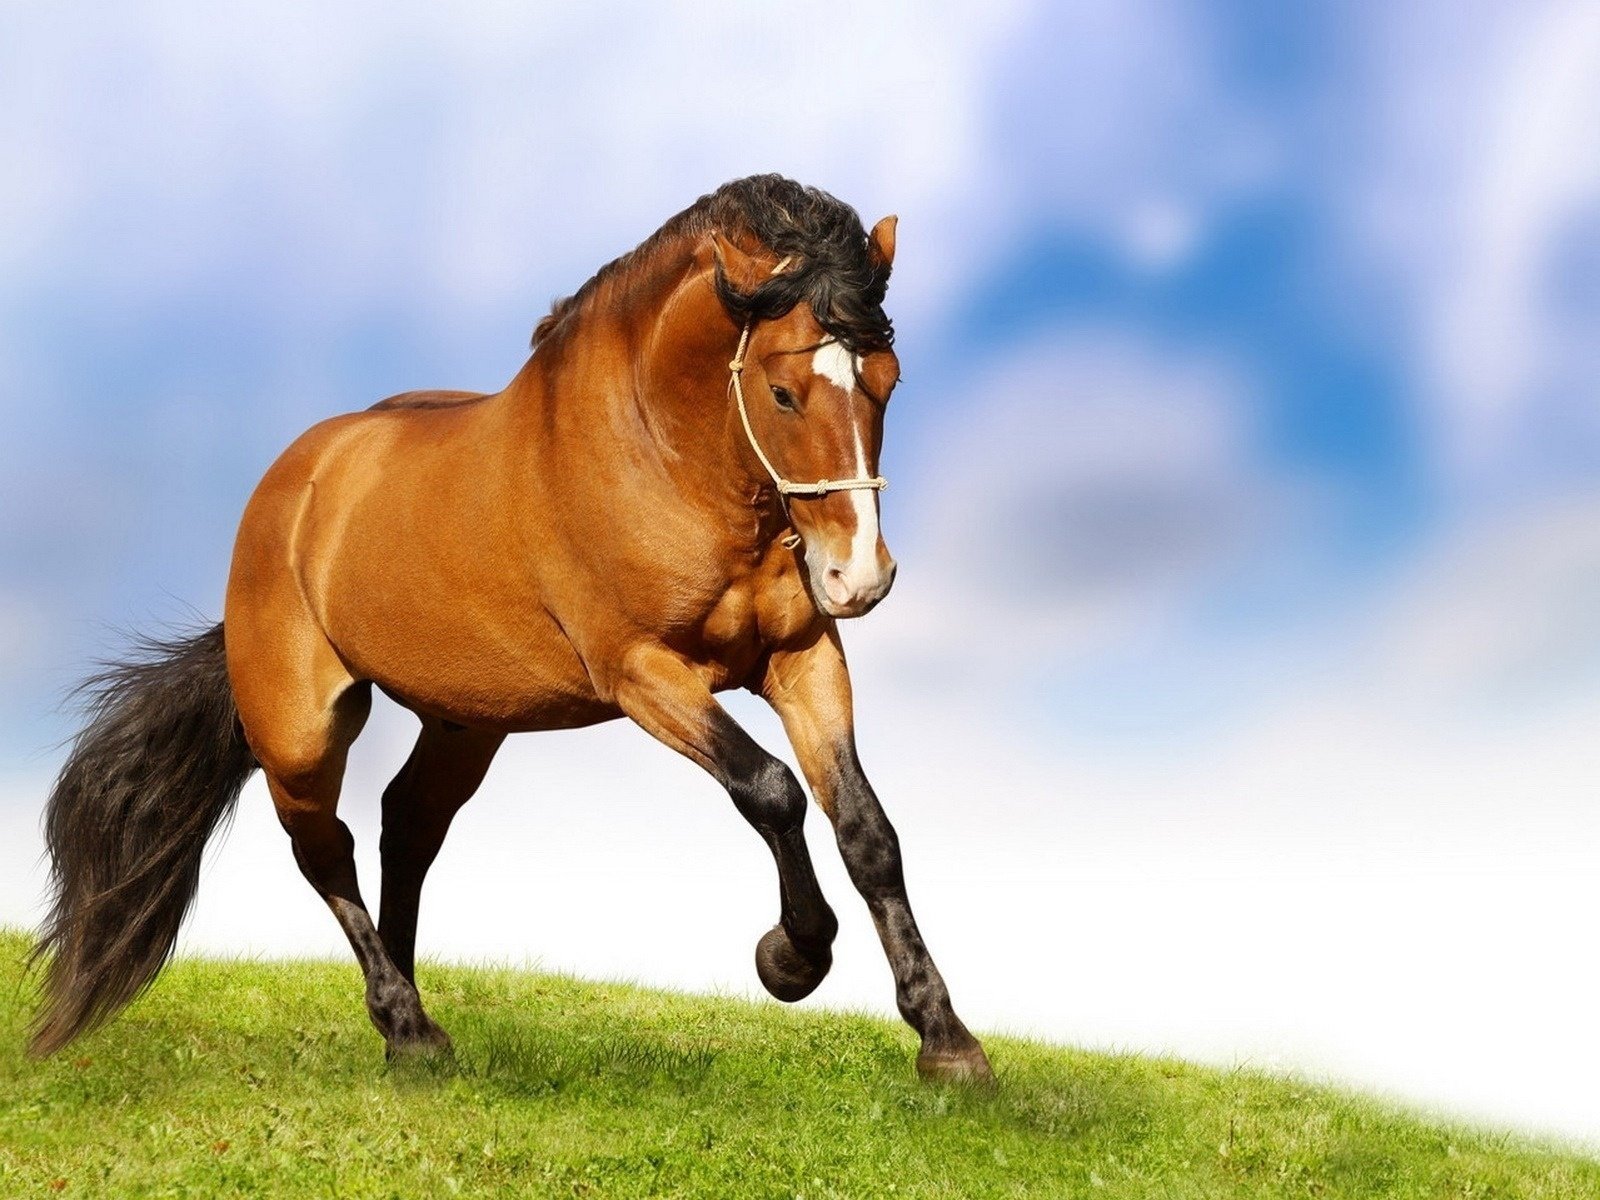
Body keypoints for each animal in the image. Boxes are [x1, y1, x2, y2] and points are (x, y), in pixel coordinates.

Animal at [30, 174, 993, 1084]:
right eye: (785, 392)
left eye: (888, 381)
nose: (858, 577)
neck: (664, 458)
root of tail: (290, 487)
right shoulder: (643, 672)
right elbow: (771, 789)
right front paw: (791, 958)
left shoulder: (801, 658)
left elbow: (867, 830)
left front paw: (947, 1044)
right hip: (300, 730)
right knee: (325, 849)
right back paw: (409, 1028)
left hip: (465, 721)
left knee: (407, 827)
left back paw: (405, 1021)